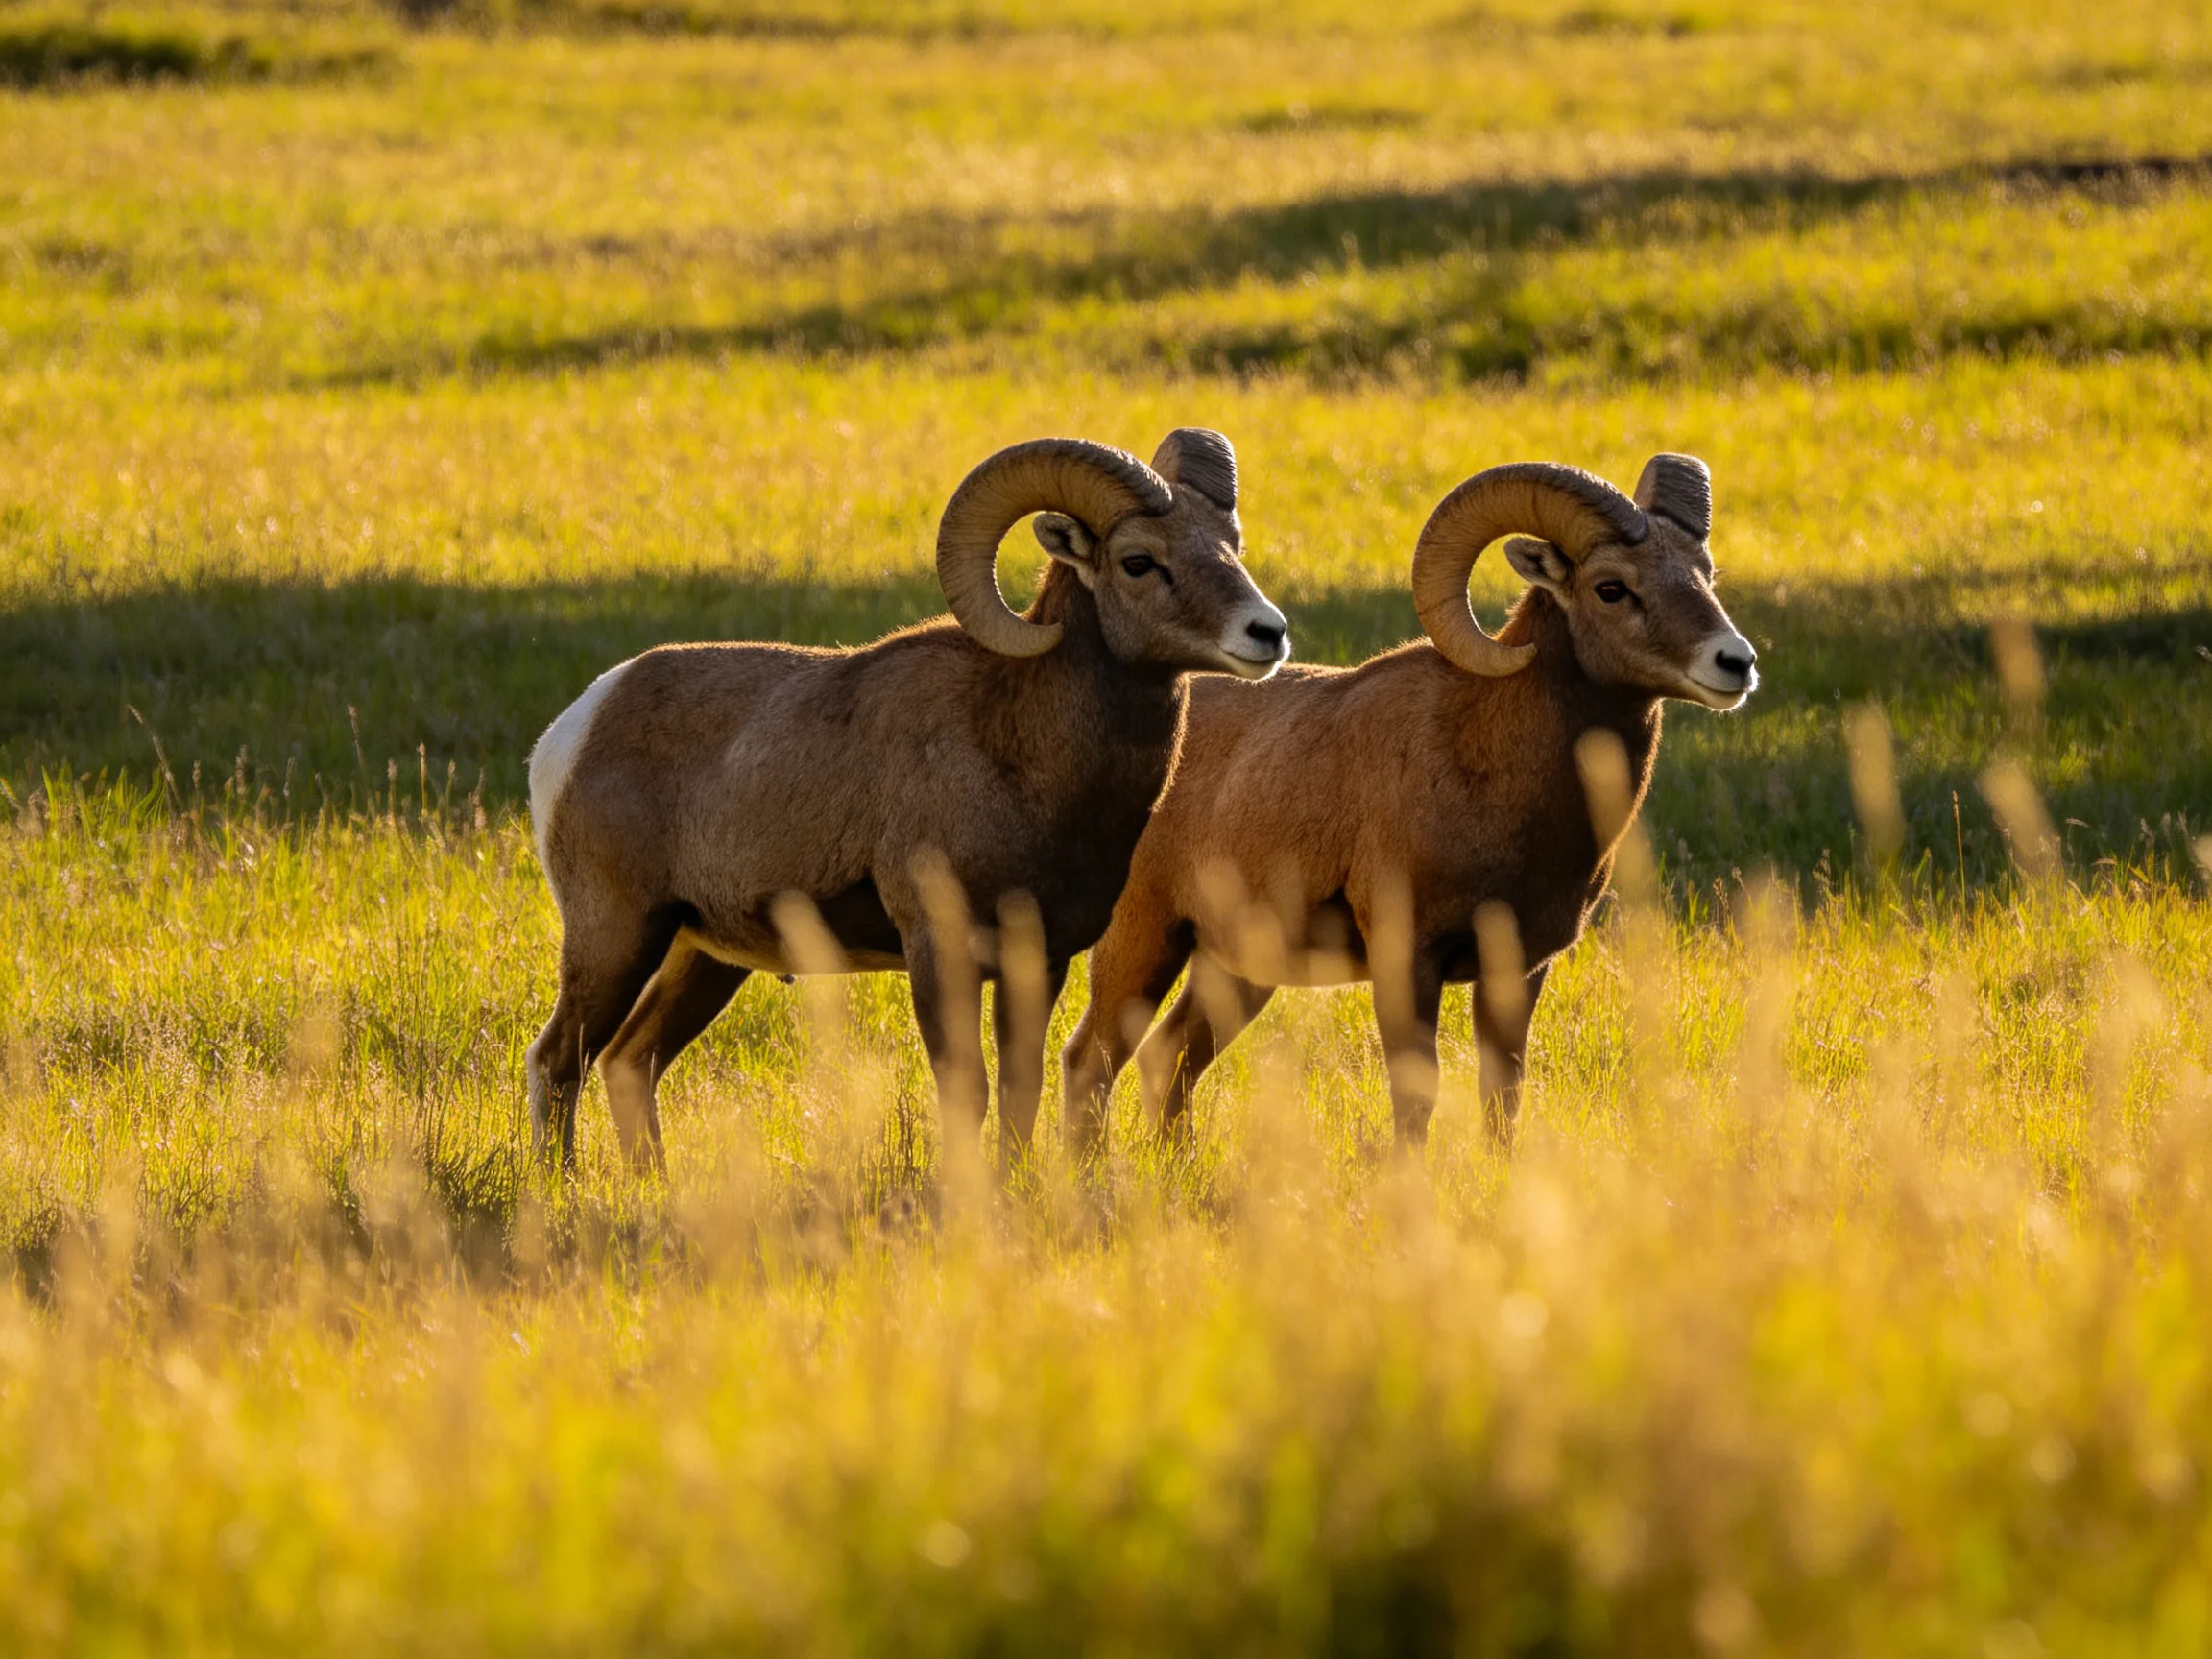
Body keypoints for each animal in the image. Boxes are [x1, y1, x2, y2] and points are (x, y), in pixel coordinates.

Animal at [526, 430, 1290, 1172]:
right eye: (1139, 561)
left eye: (1231, 544)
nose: (1268, 632)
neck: (1019, 753)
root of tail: (574, 728)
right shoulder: (936, 950)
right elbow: (966, 1091)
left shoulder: (1039, 960)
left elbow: (1020, 1091)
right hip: (617, 935)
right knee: (559, 1060)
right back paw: (562, 1189)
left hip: (704, 956)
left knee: (629, 1063)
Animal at [1061, 454, 1758, 1152]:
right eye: (1612, 588)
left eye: (1705, 576)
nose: (1736, 663)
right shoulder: (1407, 960)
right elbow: (1417, 1095)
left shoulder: (1519, 971)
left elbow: (1502, 1094)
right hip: (1143, 940)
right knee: (1091, 1060)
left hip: (1236, 968)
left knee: (1169, 1059)